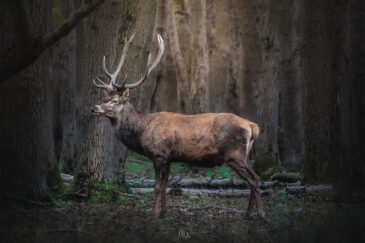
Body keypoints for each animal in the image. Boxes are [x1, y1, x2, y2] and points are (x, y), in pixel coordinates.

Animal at [89, 32, 264, 218]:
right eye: (104, 97)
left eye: (115, 101)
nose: (93, 107)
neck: (142, 131)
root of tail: (252, 126)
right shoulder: (170, 157)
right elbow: (166, 185)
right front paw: (164, 212)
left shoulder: (159, 154)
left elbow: (157, 186)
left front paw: (154, 214)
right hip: (243, 154)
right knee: (252, 179)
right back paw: (248, 214)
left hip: (234, 154)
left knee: (254, 179)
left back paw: (260, 214)